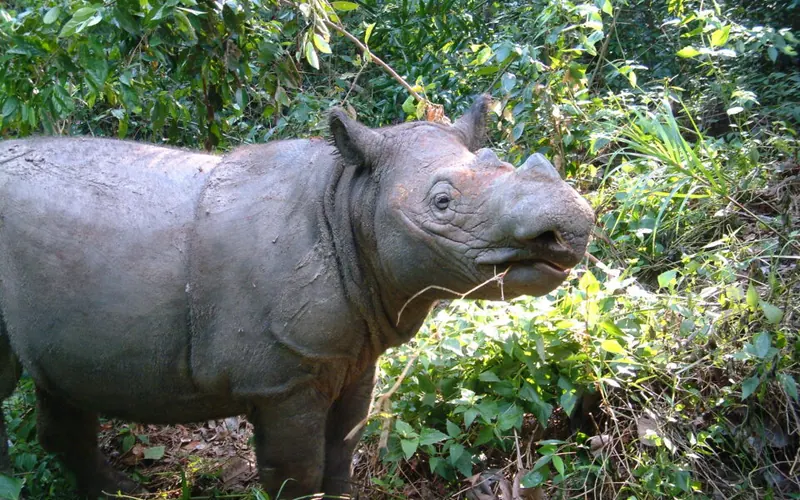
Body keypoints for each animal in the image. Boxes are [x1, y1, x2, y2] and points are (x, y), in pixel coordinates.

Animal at [0, 96, 594, 498]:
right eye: (442, 203)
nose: (570, 227)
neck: (351, 196)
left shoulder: (353, 353)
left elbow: (342, 453)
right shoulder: (281, 378)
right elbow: (297, 472)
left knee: (62, 386)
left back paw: (119, 491)